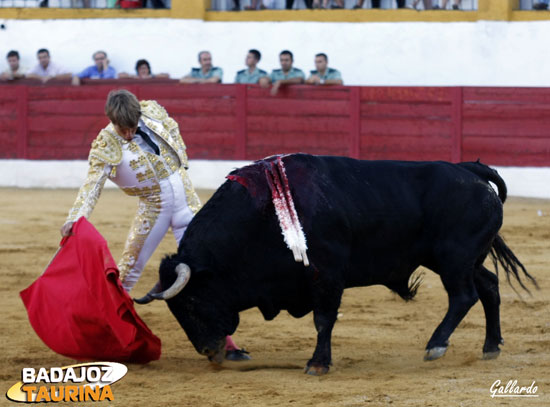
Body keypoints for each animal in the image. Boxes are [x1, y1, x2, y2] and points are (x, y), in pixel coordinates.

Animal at [139, 155, 540, 376]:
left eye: (193, 302)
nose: (209, 351)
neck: (262, 218)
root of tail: (470, 171)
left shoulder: (327, 275)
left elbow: (323, 319)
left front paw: (318, 364)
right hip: (465, 258)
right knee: (489, 287)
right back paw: (491, 346)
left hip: (454, 259)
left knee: (463, 296)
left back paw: (436, 345)